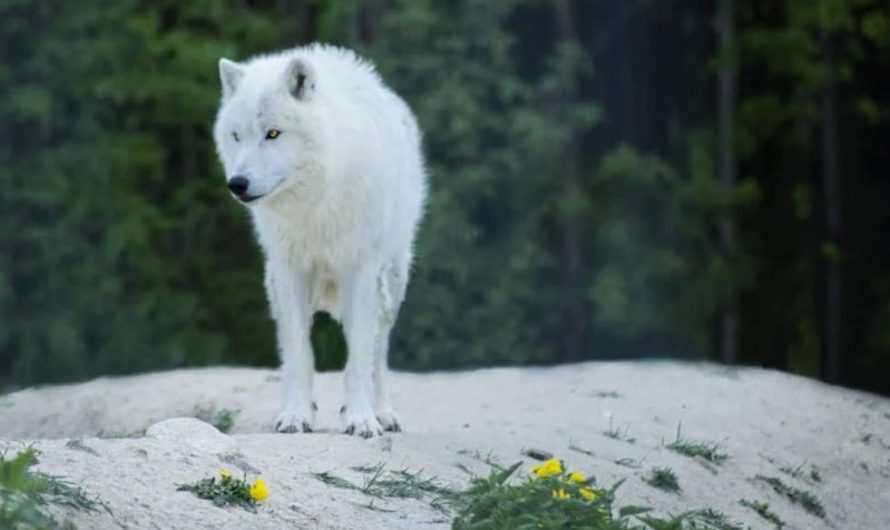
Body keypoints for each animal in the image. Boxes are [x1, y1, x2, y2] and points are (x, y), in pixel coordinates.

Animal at [213, 44, 426, 438]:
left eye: (273, 133)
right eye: (236, 136)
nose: (236, 184)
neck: (313, 202)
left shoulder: (360, 270)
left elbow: (358, 358)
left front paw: (361, 419)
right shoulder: (291, 270)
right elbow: (300, 353)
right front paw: (296, 416)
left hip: (390, 284)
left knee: (378, 352)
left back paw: (383, 412)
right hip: (275, 287)